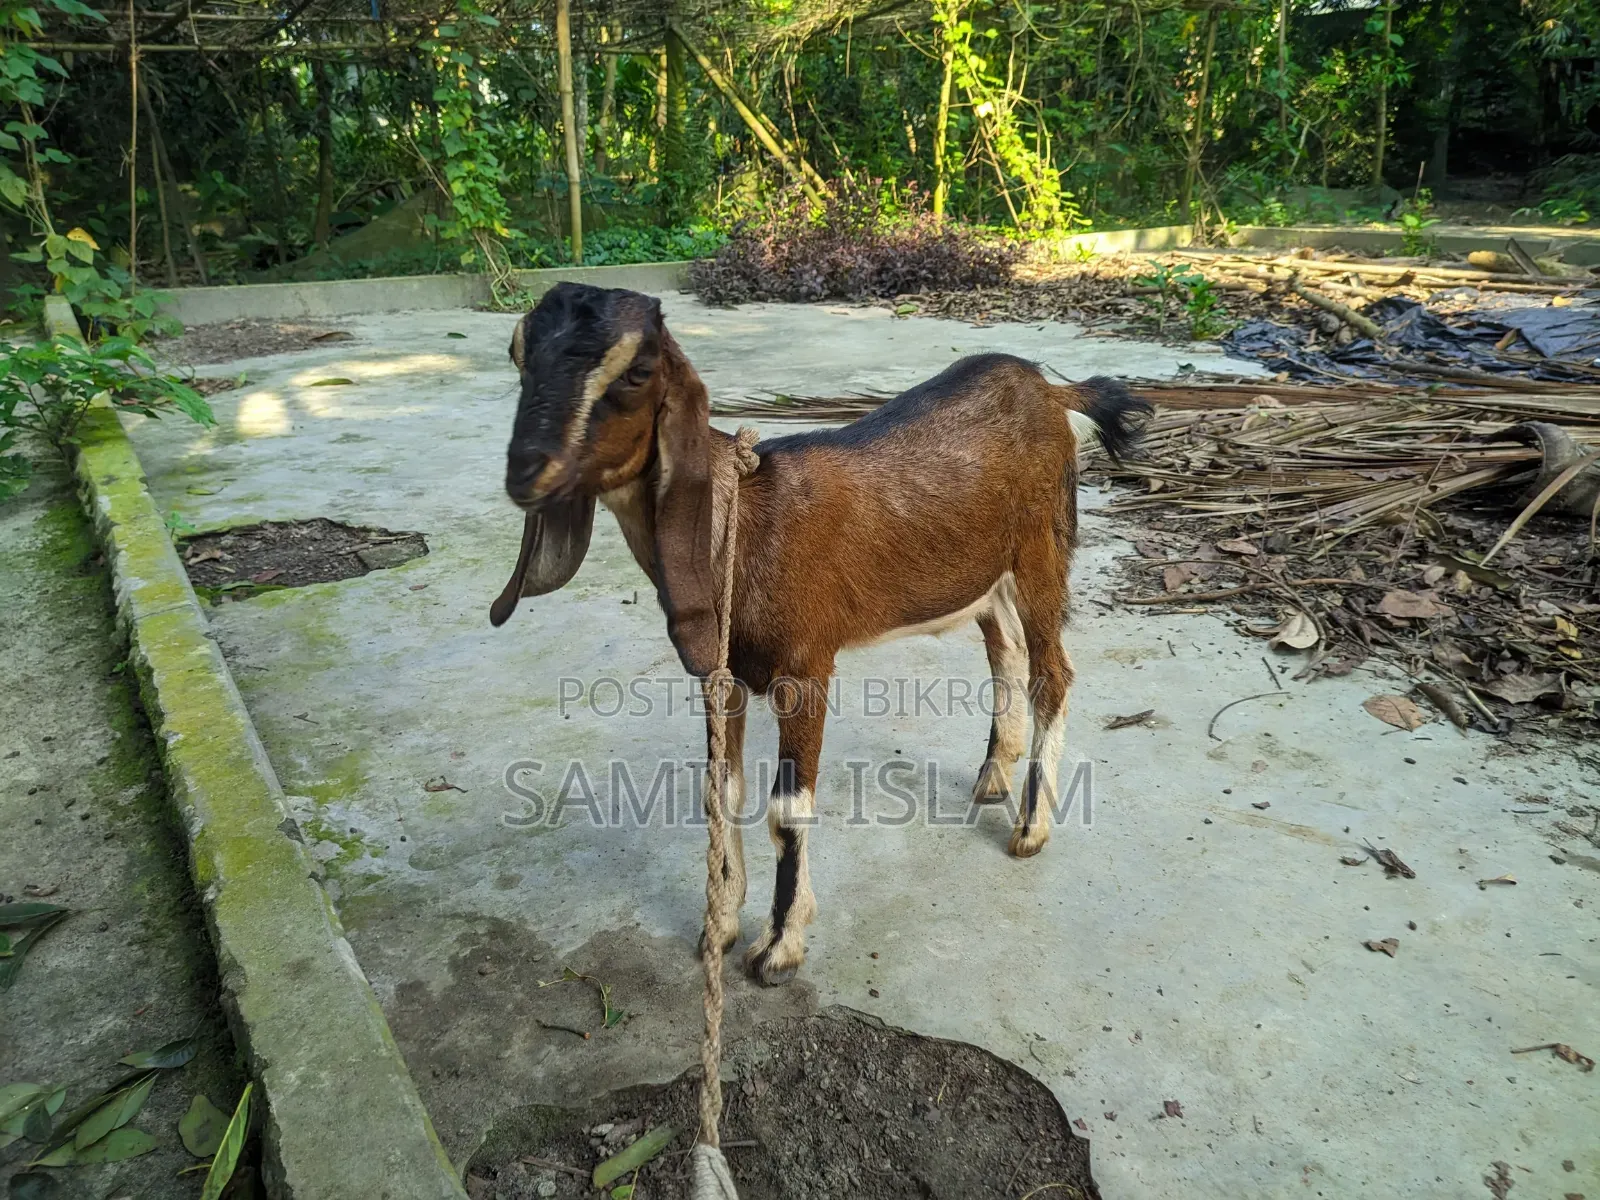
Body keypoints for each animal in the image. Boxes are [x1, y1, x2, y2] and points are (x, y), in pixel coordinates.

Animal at [492, 282, 1150, 986]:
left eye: (637, 373)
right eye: (519, 357)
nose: (527, 471)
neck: (744, 526)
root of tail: (1053, 391)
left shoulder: (805, 668)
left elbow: (786, 811)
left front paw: (778, 945)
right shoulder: (722, 675)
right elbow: (720, 791)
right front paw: (719, 925)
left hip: (1041, 549)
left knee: (1052, 673)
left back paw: (1030, 828)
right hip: (987, 573)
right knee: (1006, 650)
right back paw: (994, 775)